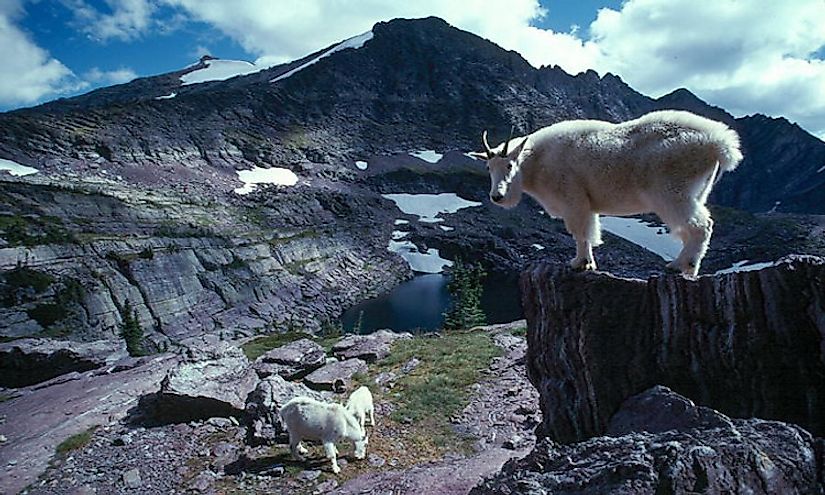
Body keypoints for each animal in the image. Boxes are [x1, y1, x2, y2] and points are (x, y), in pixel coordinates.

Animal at [466, 110, 744, 278]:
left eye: (509, 165)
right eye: (488, 168)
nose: (497, 196)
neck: (536, 161)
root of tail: (719, 144)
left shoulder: (573, 199)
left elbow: (581, 232)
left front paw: (580, 263)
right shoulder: (586, 204)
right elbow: (587, 231)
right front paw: (586, 262)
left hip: (672, 191)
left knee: (700, 225)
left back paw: (680, 266)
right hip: (698, 191)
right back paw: (688, 266)